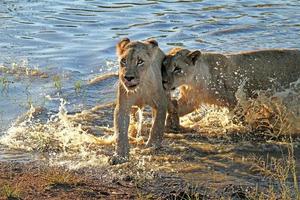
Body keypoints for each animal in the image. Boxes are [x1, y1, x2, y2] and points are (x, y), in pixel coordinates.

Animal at [162, 47, 300, 116]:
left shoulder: (236, 101)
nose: (163, 82)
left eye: (177, 69)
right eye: (163, 66)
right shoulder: (191, 100)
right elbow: (175, 110)